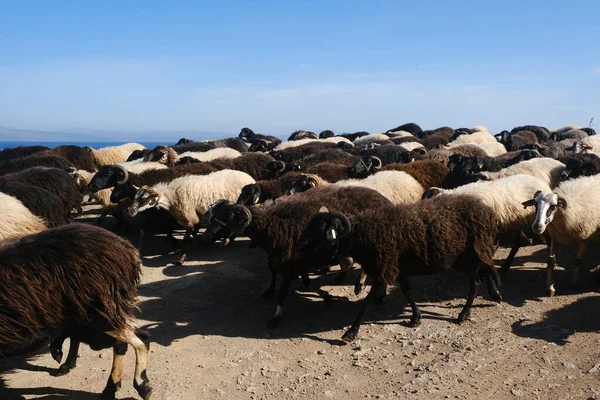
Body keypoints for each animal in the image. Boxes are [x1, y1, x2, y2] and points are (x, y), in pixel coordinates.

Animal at [202, 185, 394, 328]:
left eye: (229, 219)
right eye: (216, 215)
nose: (206, 235)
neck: (270, 224)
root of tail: (384, 199)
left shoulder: (289, 264)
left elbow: (283, 292)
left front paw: (276, 318)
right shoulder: (298, 262)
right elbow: (306, 283)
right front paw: (327, 296)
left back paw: (362, 286)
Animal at [292, 194, 500, 340]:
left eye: (321, 229)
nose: (298, 247)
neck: (362, 234)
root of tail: (486, 210)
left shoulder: (383, 270)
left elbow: (367, 302)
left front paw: (351, 332)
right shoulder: (397, 268)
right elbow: (407, 292)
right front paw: (416, 318)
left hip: (469, 257)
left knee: (475, 282)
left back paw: (464, 314)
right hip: (468, 257)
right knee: (484, 269)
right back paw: (495, 294)